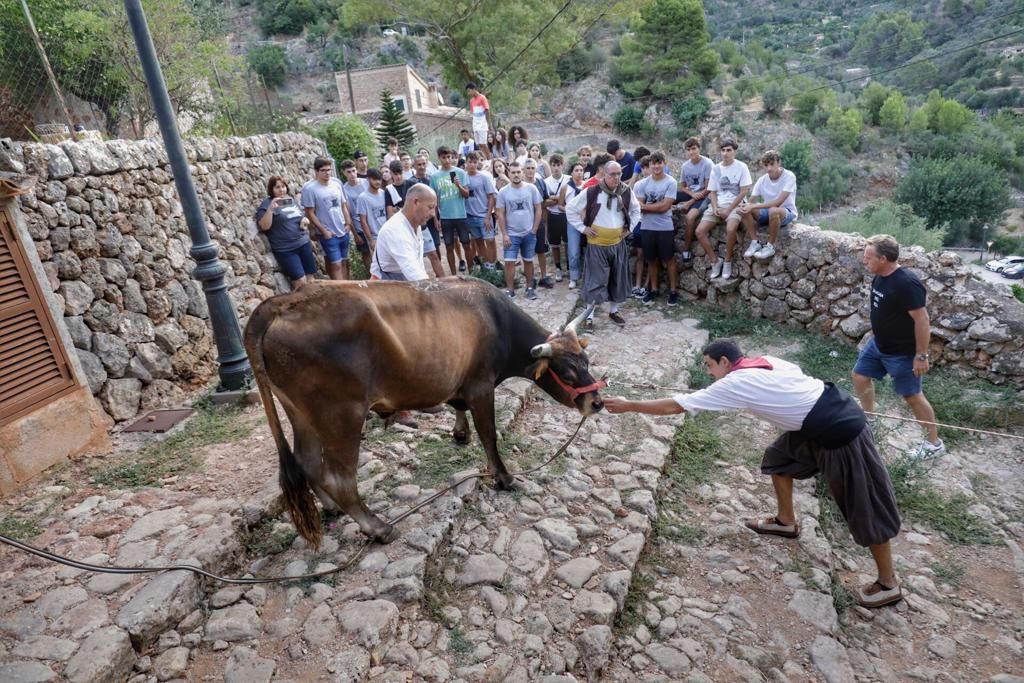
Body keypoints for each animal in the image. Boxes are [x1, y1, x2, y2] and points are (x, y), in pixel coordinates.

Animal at [243, 274, 602, 548]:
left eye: (586, 361)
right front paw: (503, 476)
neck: (497, 321)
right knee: (339, 477)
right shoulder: (481, 385)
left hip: (301, 414)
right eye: (568, 373)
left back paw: (332, 508)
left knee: (307, 463)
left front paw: (459, 433)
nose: (596, 402)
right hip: (340, 415)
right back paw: (378, 528)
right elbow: (489, 434)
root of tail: (286, 300)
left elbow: (459, 409)